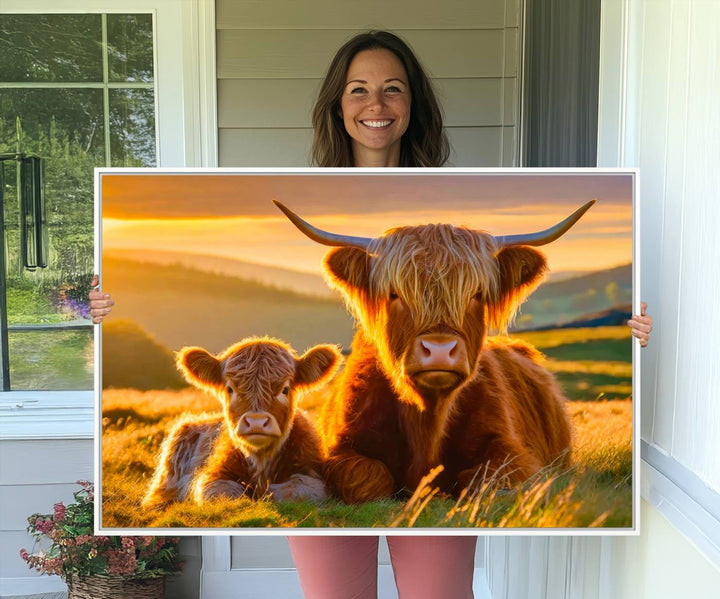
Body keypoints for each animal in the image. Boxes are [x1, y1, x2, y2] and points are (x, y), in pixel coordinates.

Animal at [144, 336, 344, 508]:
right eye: (230, 389)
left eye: (285, 389)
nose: (256, 422)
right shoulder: (211, 477)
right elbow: (224, 494)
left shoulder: (313, 475)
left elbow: (296, 491)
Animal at [272, 199, 592, 504]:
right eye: (395, 294)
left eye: (476, 294)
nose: (439, 350)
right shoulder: (341, 450)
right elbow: (368, 478)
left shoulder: (513, 452)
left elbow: (481, 481)